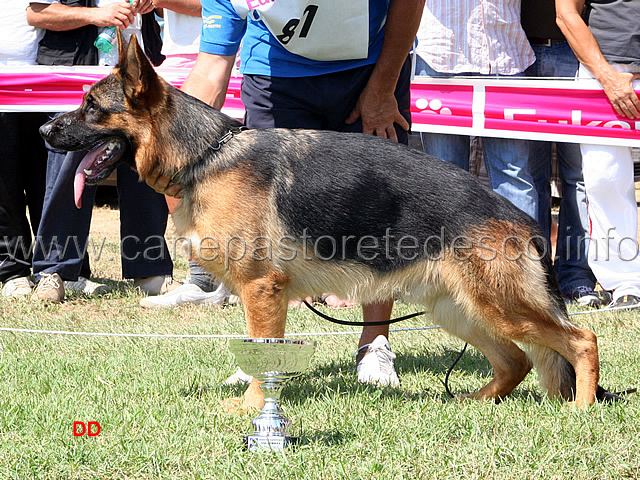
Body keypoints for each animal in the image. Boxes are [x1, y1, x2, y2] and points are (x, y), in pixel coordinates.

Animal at [40, 34, 604, 408]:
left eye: (91, 107)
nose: (44, 130)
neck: (205, 155)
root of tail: (521, 218)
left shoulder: (261, 290)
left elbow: (264, 354)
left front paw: (253, 409)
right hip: (460, 309)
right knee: (518, 361)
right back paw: (472, 402)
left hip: (497, 305)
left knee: (580, 341)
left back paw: (579, 410)